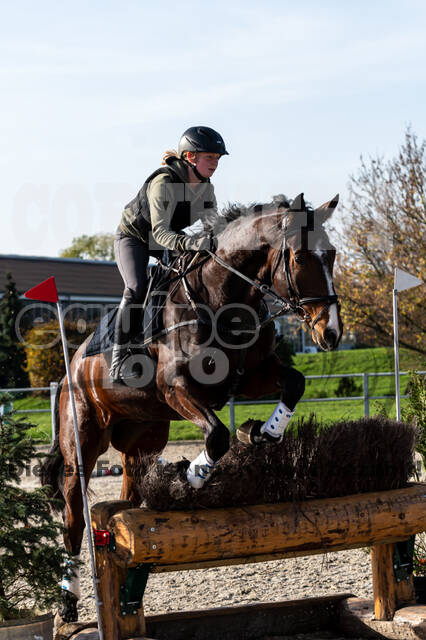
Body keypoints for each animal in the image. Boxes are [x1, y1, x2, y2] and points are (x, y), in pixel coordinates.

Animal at [41, 192, 343, 622]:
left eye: (331, 254)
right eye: (300, 257)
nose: (330, 333)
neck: (222, 298)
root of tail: (69, 372)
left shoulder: (252, 375)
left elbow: (294, 385)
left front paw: (260, 433)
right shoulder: (177, 388)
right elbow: (216, 435)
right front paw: (189, 478)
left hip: (142, 440)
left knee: (126, 496)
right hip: (81, 443)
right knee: (72, 520)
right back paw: (67, 605)